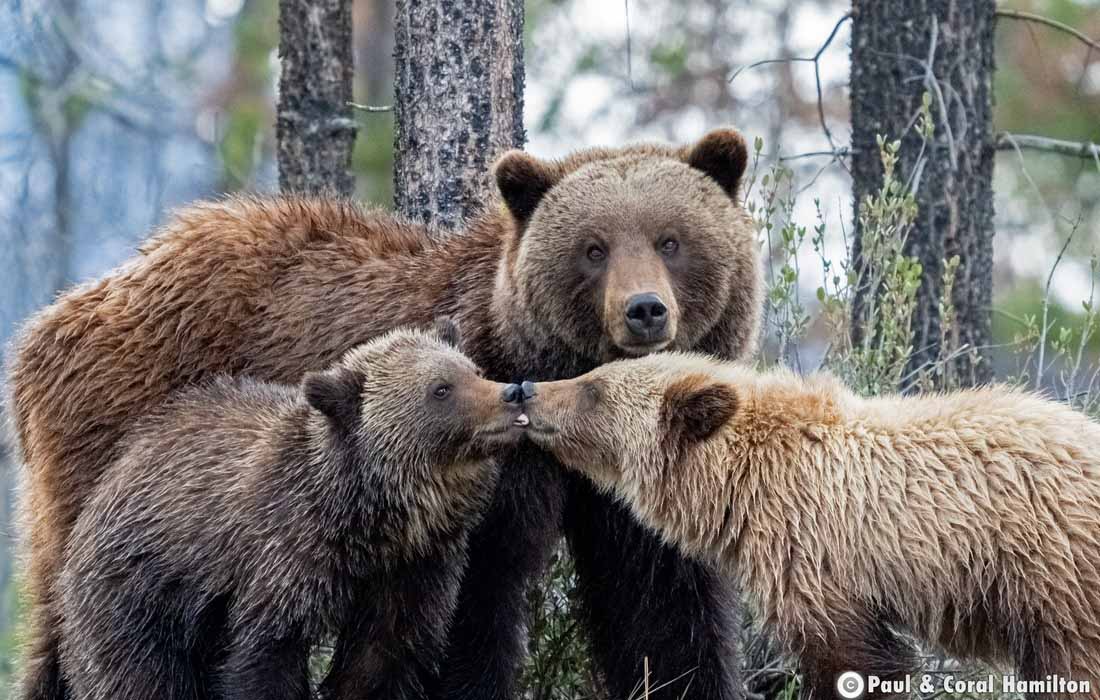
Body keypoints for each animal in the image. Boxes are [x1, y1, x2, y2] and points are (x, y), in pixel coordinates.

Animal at [60, 325, 528, 700]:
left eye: (473, 370)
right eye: (441, 389)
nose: (512, 393)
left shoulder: (414, 571)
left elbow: (381, 659)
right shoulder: (284, 558)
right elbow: (267, 656)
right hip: (138, 593)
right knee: (139, 676)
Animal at [519, 358, 1100, 695]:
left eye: (592, 388)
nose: (525, 389)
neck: (744, 484)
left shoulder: (814, 555)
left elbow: (852, 661)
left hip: (1057, 577)